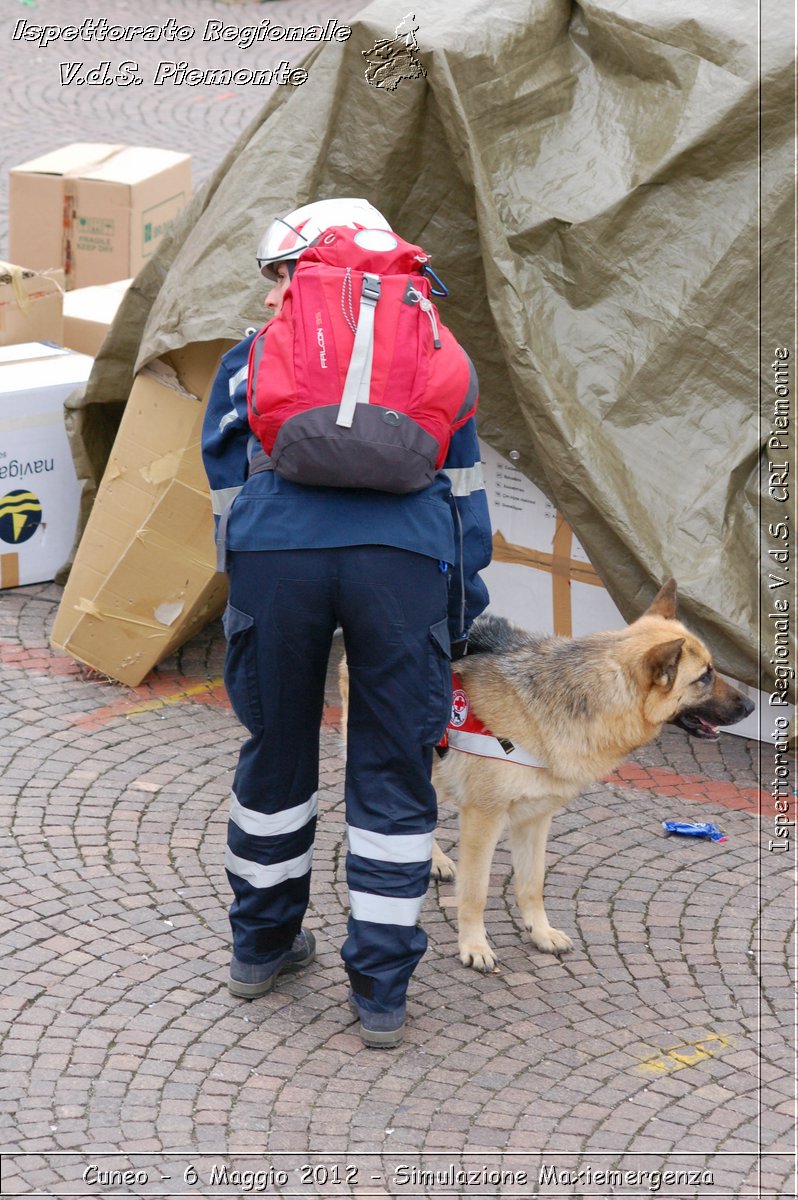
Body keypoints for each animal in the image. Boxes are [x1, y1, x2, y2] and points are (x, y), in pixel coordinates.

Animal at [338, 583, 753, 974]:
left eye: (714, 668)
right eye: (704, 677)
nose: (750, 706)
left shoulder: (535, 818)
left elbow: (531, 884)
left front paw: (540, 933)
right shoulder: (484, 818)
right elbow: (475, 893)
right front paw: (474, 946)